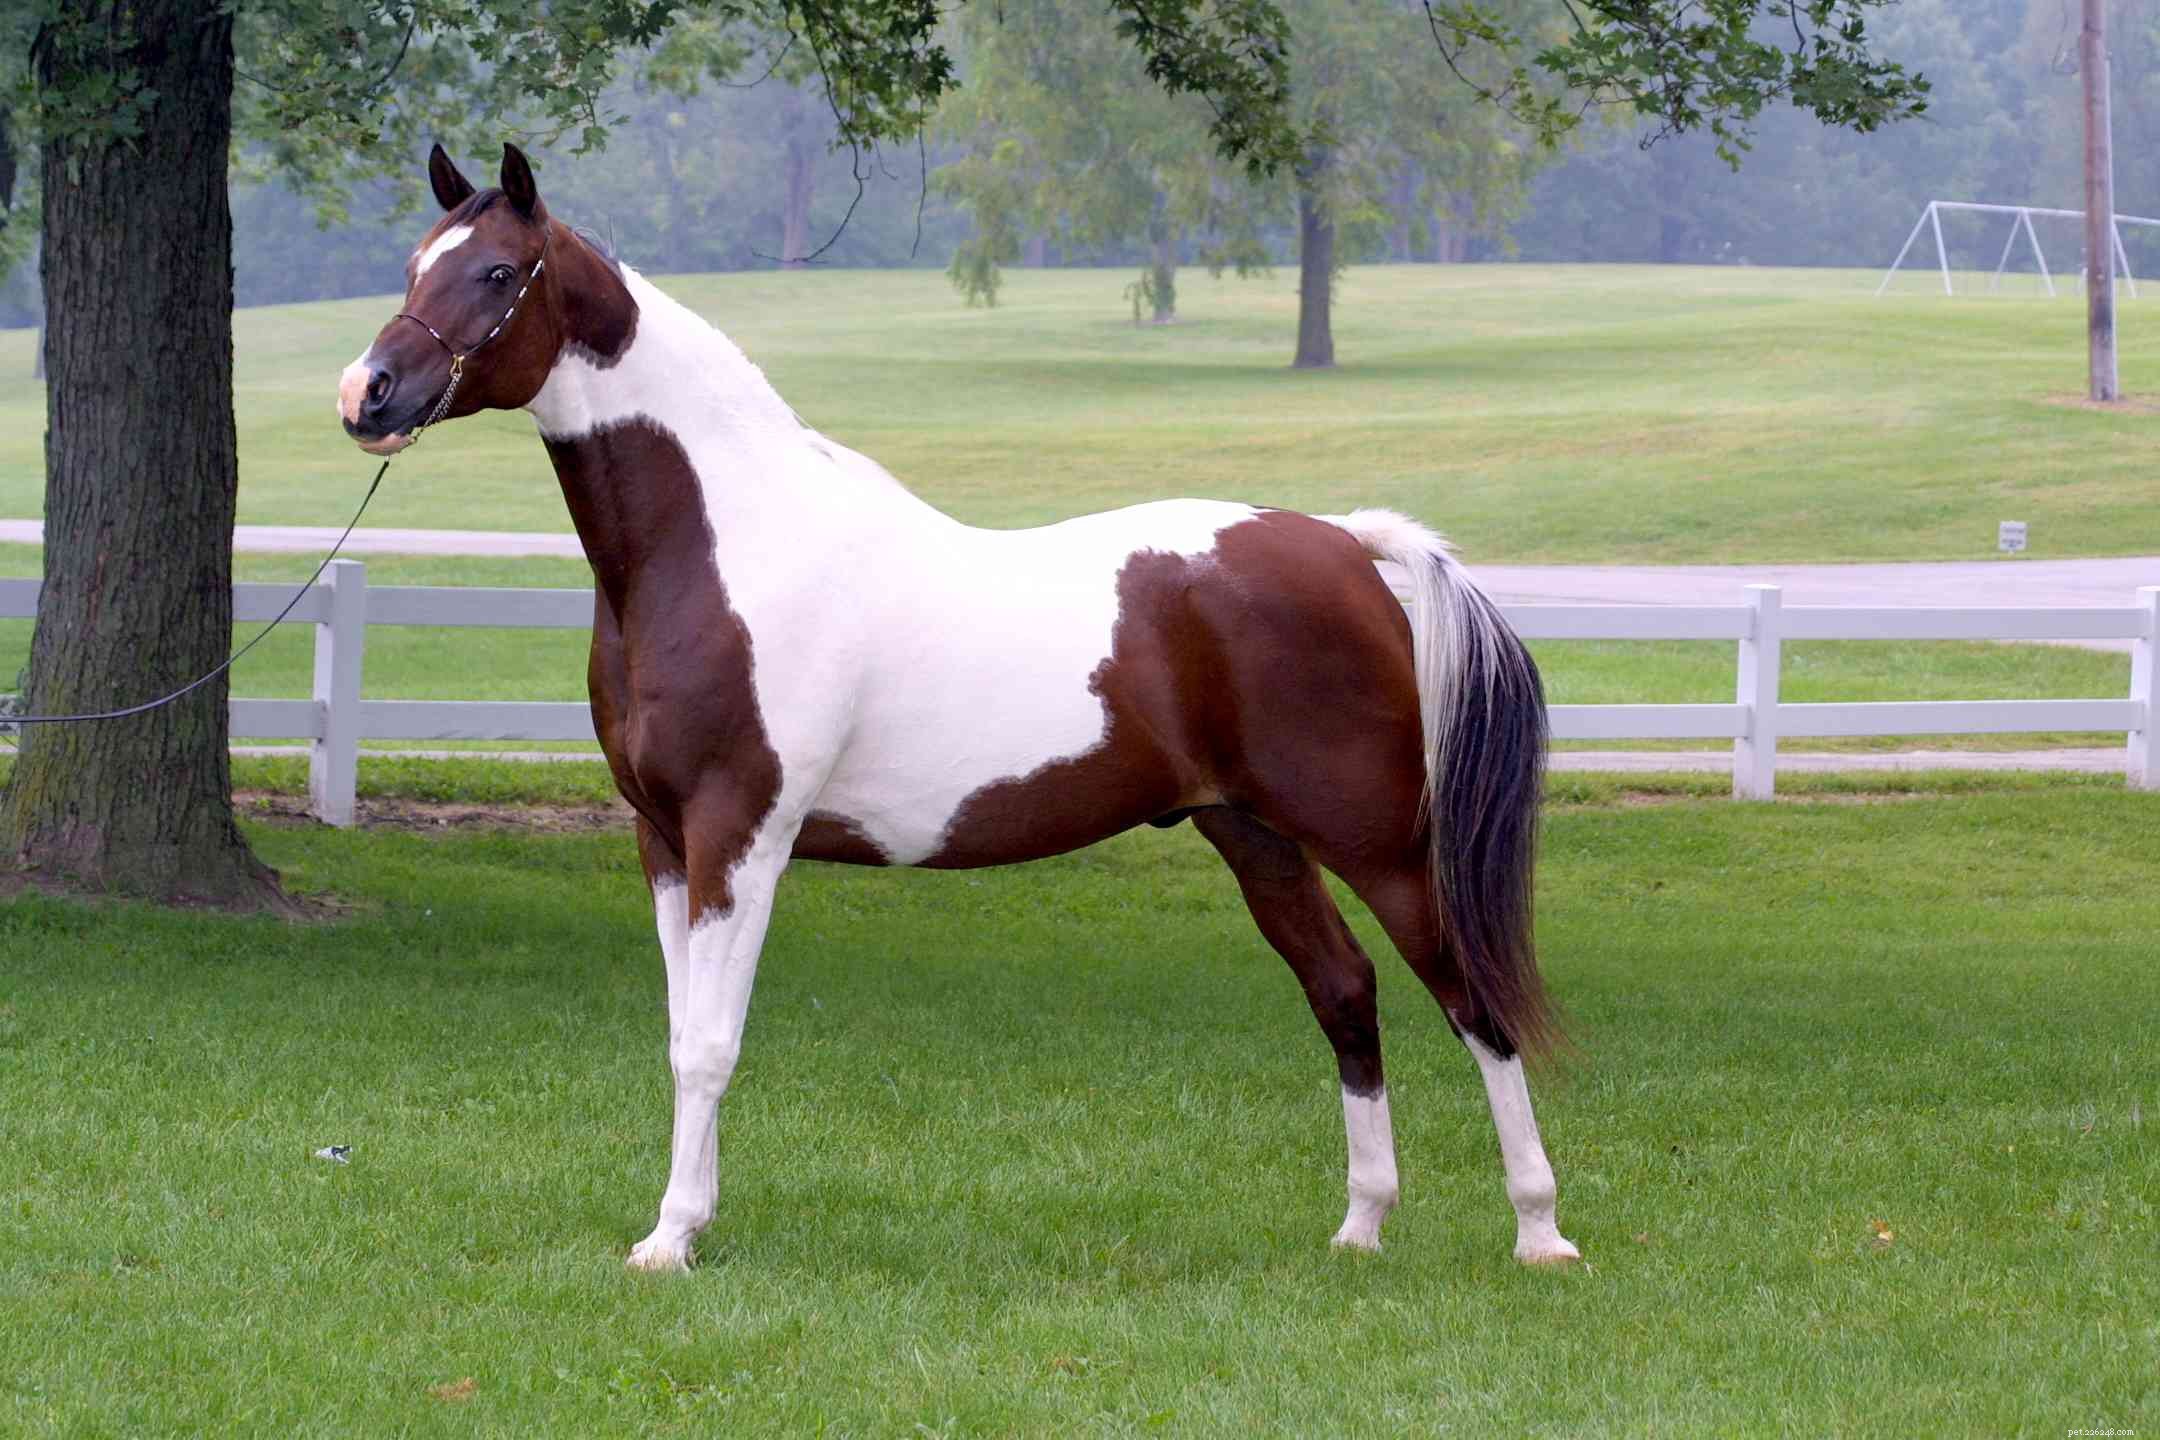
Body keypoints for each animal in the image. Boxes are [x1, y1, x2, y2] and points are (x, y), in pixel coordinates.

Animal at [337, 143, 1579, 1273]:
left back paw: (1540, 1232)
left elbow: (711, 1045)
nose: (368, 395)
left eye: (499, 273)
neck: (727, 546)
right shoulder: (662, 842)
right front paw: (688, 1221)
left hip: (1378, 843)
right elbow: (682, 1032)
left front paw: (671, 1238)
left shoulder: (740, 836)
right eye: (411, 265)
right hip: (1255, 836)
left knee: (1472, 1001)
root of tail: (1347, 545)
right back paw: (1362, 1226)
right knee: (1345, 990)